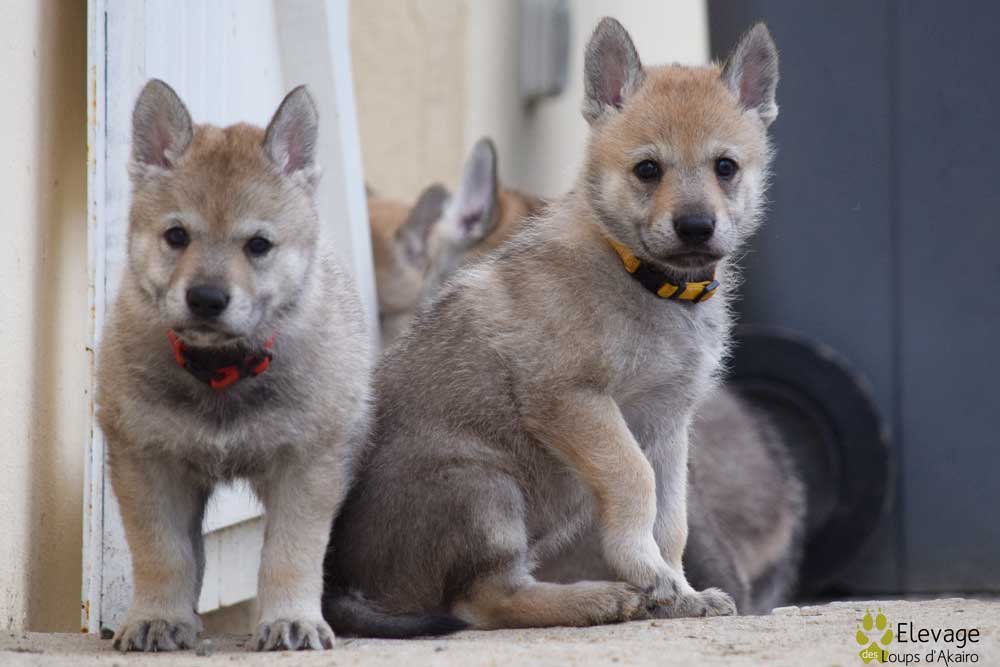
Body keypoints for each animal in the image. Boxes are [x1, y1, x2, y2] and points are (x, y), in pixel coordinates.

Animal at [97, 80, 370, 651]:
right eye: (177, 236)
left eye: (258, 245)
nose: (206, 299)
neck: (221, 371)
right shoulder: (148, 465)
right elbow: (163, 554)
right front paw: (157, 617)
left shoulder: (307, 467)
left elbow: (290, 554)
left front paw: (291, 620)